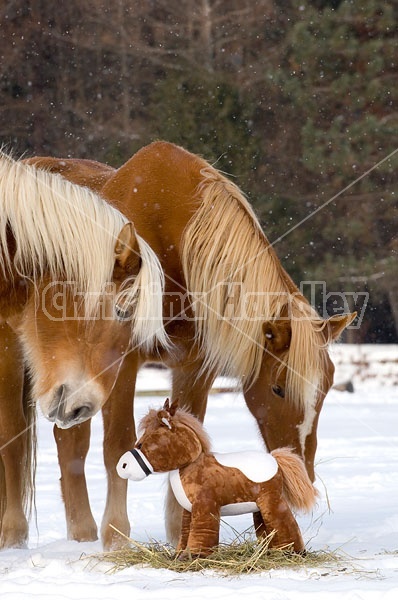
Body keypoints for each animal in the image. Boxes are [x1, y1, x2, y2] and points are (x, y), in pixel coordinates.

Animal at [116, 398, 318, 556]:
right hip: (259, 508)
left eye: (141, 444)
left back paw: (293, 553)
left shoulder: (205, 506)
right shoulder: (188, 511)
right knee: (267, 530)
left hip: (271, 501)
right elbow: (185, 533)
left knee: (285, 524)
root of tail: (275, 459)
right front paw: (178, 555)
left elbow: (201, 533)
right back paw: (270, 553)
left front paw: (193, 557)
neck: (192, 464)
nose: (122, 466)